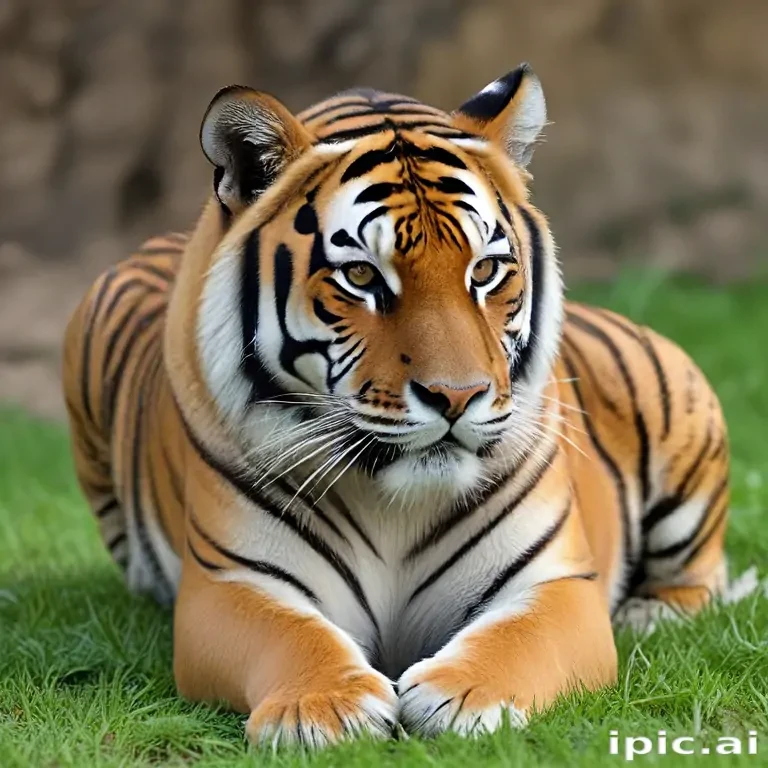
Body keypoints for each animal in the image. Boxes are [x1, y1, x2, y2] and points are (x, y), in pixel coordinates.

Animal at [63, 63, 736, 747]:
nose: (457, 396)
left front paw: (464, 697)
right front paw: (323, 707)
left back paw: (647, 615)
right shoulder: (231, 583)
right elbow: (291, 635)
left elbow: (518, 639)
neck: (393, 502)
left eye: (486, 271)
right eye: (361, 277)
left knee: (703, 577)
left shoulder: (553, 580)